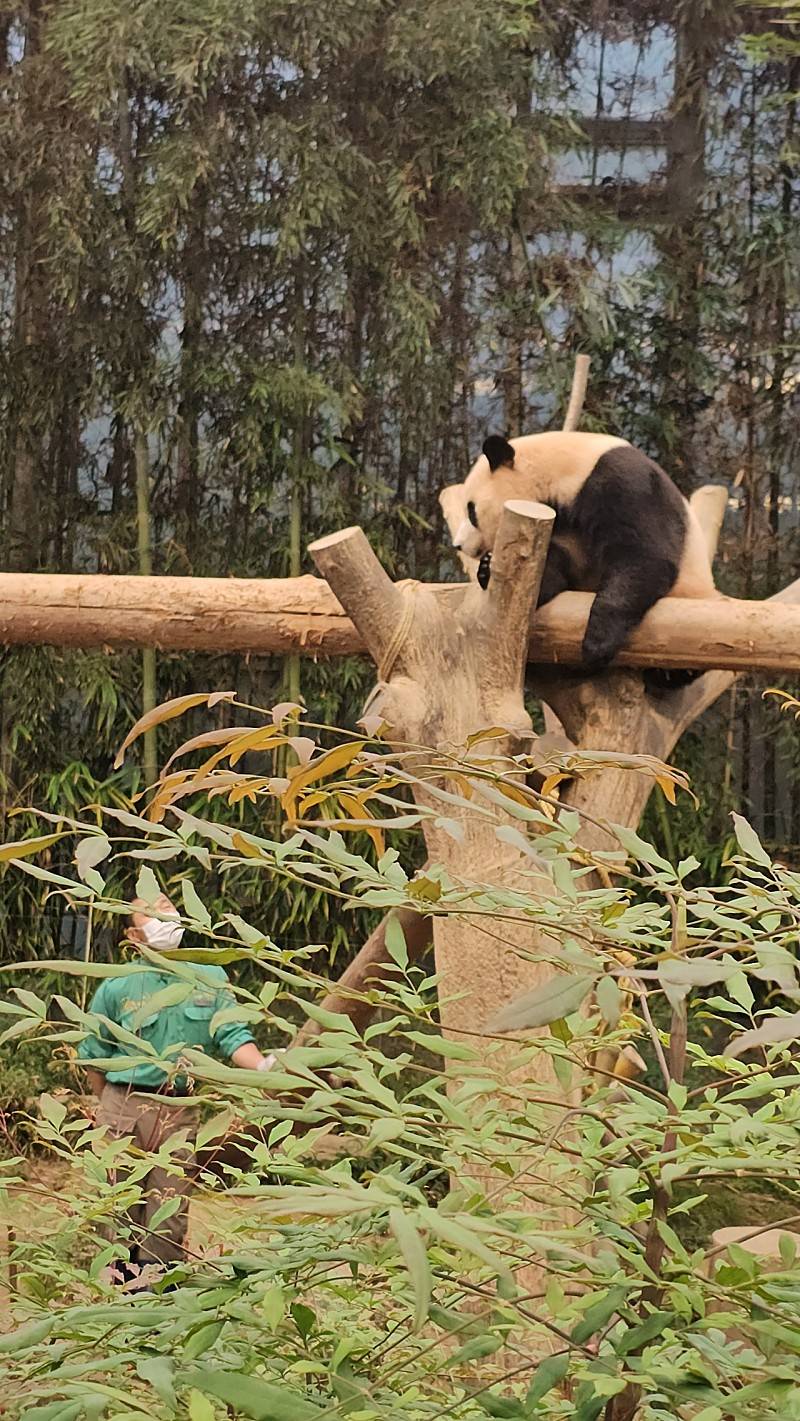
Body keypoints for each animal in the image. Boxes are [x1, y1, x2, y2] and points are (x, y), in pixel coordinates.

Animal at [451, 426, 719, 687]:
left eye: (471, 510)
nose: (459, 544)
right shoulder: (561, 527)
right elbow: (553, 570)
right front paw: (487, 570)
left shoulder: (626, 485)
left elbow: (646, 558)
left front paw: (597, 644)